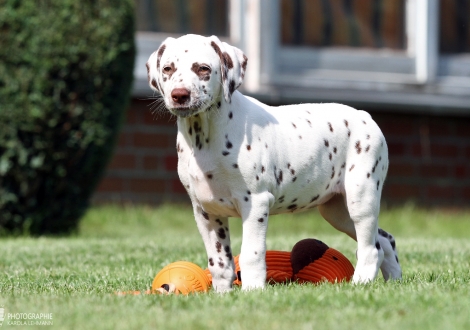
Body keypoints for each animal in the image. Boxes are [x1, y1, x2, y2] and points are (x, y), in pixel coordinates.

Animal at [146, 33, 400, 292]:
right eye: (167, 68)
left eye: (203, 69)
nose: (179, 95)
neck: (205, 137)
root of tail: (364, 116)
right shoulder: (206, 211)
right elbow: (219, 261)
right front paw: (223, 294)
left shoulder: (255, 203)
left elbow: (251, 254)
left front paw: (252, 291)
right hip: (337, 210)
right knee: (384, 240)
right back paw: (395, 281)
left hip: (361, 198)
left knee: (371, 248)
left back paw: (360, 283)